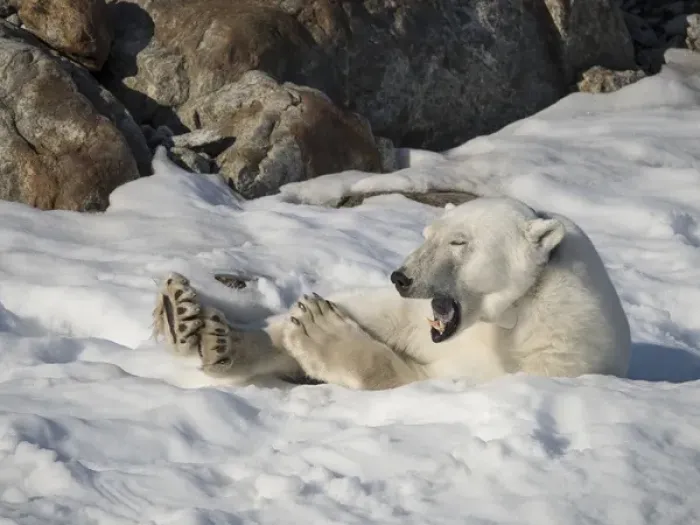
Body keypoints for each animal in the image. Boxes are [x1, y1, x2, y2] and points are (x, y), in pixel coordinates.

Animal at [152, 196, 631, 390]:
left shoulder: (554, 350)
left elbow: (420, 378)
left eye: (459, 242)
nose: (401, 277)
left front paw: (320, 331)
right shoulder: (420, 319)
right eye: (427, 234)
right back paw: (192, 322)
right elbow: (382, 317)